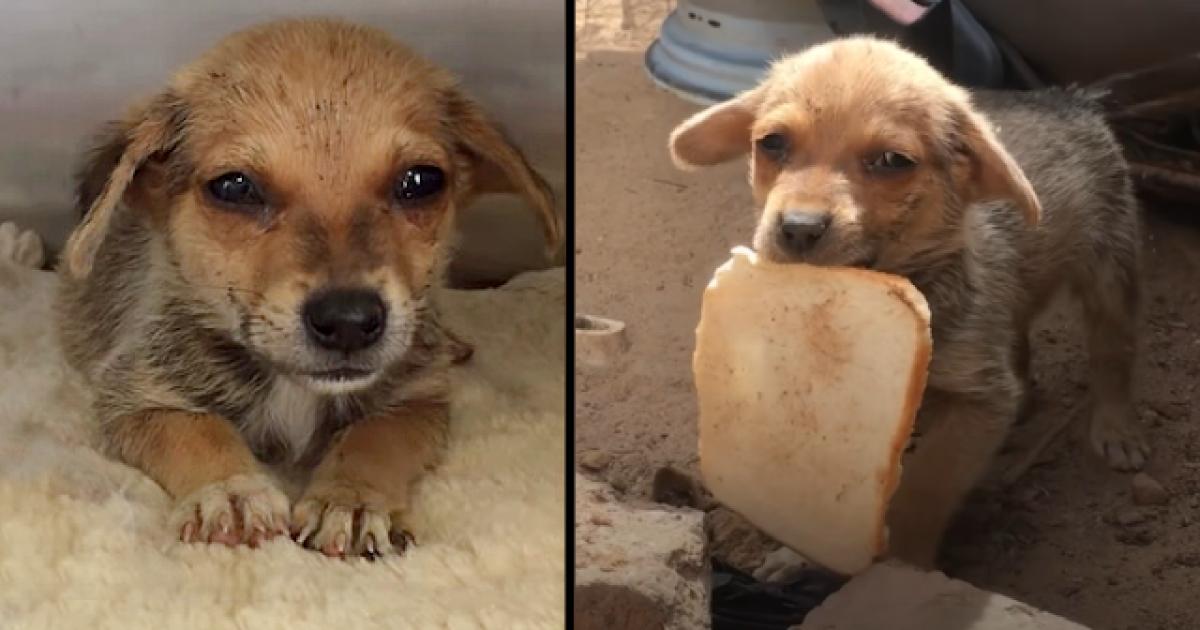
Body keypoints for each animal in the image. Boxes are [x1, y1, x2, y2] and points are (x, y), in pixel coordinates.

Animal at [56, 17, 561, 556]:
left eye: (421, 181)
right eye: (234, 187)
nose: (349, 321)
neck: (293, 387)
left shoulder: (419, 400)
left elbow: (375, 436)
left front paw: (352, 498)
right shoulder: (136, 396)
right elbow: (198, 429)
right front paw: (232, 491)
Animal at [667, 36, 1142, 566]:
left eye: (892, 161)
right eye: (772, 143)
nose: (798, 229)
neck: (913, 280)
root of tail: (1069, 98)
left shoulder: (977, 401)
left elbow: (926, 487)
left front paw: (904, 563)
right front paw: (797, 555)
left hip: (1112, 267)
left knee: (1113, 353)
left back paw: (1116, 428)